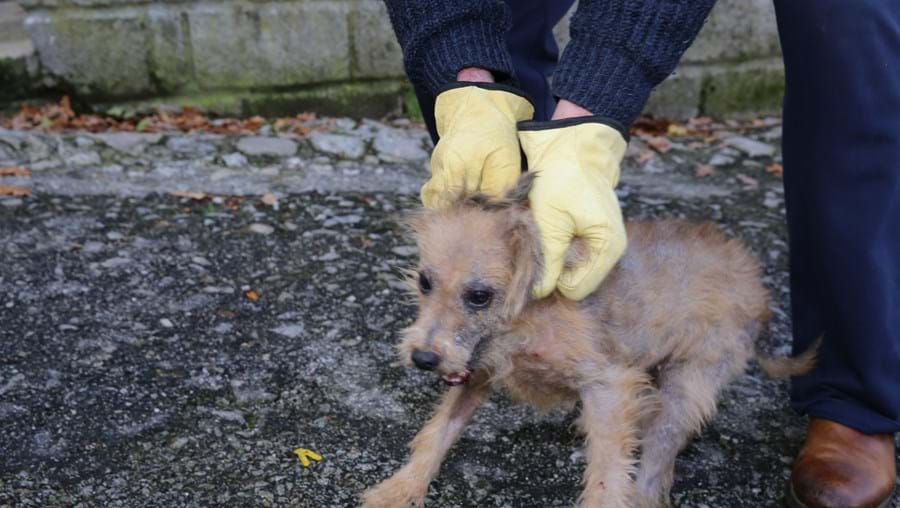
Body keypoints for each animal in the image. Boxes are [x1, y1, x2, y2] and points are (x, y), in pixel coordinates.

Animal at [362, 176, 820, 508]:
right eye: (425, 282)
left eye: (479, 296)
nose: (423, 358)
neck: (523, 315)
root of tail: (758, 290)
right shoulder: (476, 373)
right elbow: (437, 433)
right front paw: (399, 490)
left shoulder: (609, 385)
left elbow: (606, 476)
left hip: (688, 383)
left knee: (655, 464)